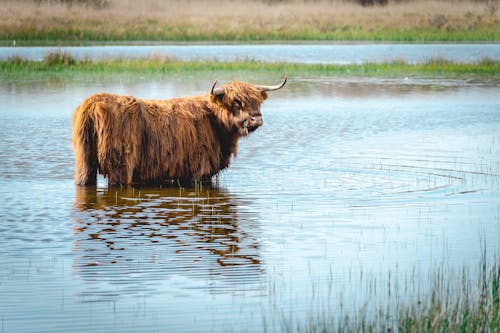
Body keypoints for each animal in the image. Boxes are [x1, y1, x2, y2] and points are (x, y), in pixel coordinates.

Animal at [72, 78, 288, 187]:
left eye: (257, 101)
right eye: (236, 102)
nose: (256, 119)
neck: (216, 123)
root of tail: (92, 104)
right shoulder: (200, 170)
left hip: (84, 162)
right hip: (120, 165)